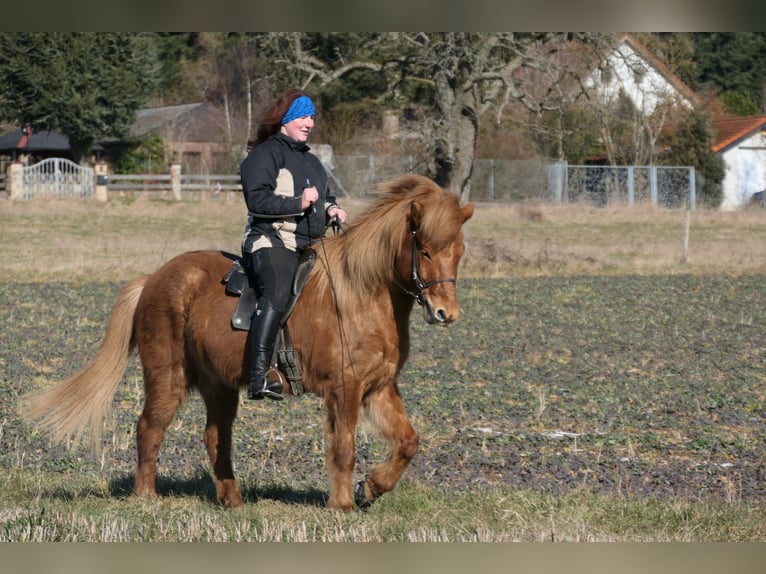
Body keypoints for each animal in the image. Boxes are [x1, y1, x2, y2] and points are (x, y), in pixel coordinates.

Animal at [21, 174, 476, 512]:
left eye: (459, 250)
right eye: (425, 250)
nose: (446, 314)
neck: (362, 293)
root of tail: (151, 280)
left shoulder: (378, 389)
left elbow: (408, 442)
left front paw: (372, 488)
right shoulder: (345, 390)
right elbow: (343, 448)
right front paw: (344, 505)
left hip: (219, 385)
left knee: (215, 438)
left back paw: (233, 501)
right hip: (168, 377)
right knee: (150, 428)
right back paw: (146, 497)